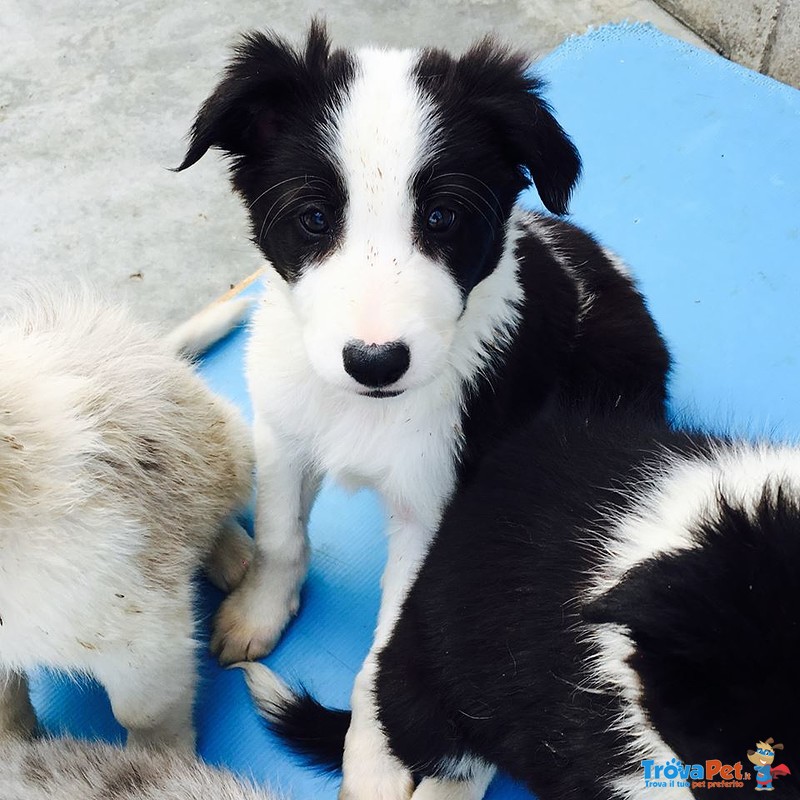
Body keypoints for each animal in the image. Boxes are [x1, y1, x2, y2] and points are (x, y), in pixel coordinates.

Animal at [0, 288, 253, 752]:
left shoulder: (141, 628)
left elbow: (145, 714)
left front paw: (157, 760)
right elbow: (6, 706)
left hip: (230, 443)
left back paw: (231, 555)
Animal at [180, 21, 668, 796]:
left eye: (443, 217)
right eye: (313, 219)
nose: (375, 362)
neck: (369, 410)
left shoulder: (437, 505)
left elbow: (394, 646)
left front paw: (376, 763)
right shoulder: (284, 431)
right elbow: (283, 537)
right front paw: (258, 612)